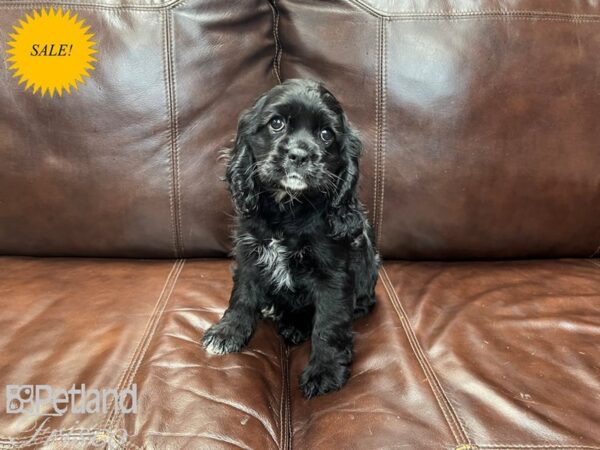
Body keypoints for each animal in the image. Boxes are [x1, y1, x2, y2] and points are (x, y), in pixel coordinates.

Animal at [202, 79, 380, 400]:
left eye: (326, 135)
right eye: (276, 123)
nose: (299, 155)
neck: (289, 207)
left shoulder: (333, 273)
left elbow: (329, 323)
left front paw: (325, 371)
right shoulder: (250, 253)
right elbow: (242, 296)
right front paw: (228, 333)